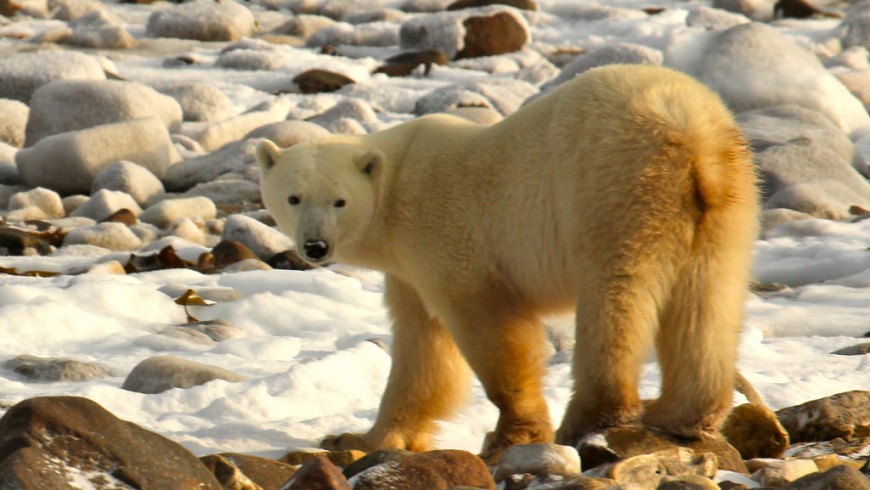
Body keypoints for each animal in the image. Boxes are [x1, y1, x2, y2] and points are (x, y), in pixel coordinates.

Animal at [255, 63, 760, 462]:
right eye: (294, 197)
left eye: (339, 201)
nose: (315, 246)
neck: (395, 189)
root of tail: (692, 131)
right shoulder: (407, 271)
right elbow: (421, 349)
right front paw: (357, 439)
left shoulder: (444, 232)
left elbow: (485, 322)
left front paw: (511, 434)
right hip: (724, 204)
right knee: (708, 300)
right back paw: (681, 413)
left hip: (617, 186)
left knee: (617, 294)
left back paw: (589, 418)